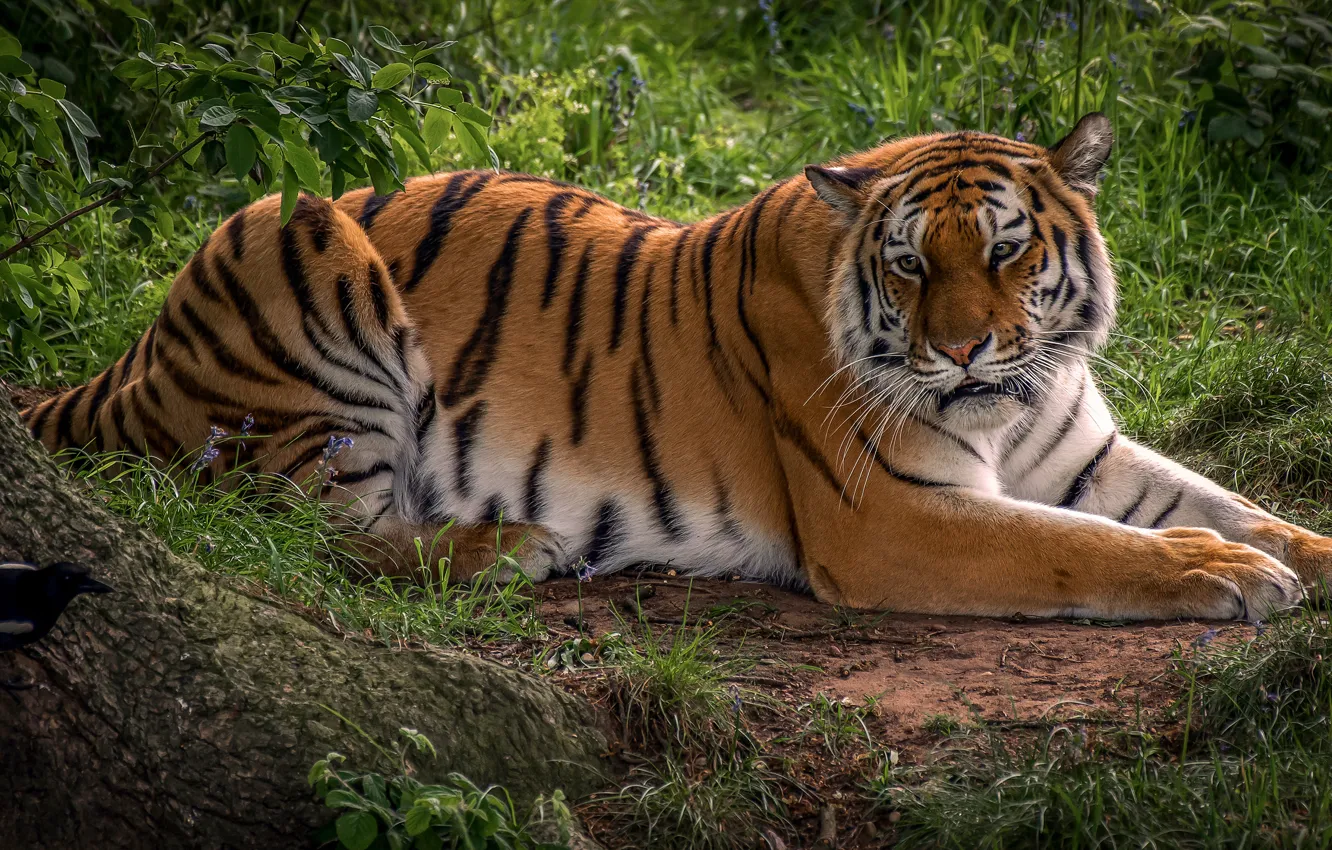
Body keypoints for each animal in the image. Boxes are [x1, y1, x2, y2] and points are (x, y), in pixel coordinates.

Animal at [19, 112, 1332, 621]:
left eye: (1008, 251)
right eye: (910, 264)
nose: (962, 346)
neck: (1018, 403)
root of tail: (131, 354)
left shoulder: (1085, 450)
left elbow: (1237, 505)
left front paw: (1286, 551)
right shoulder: (892, 516)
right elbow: (1084, 547)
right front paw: (1222, 573)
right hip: (293, 240)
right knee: (301, 532)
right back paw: (508, 546)